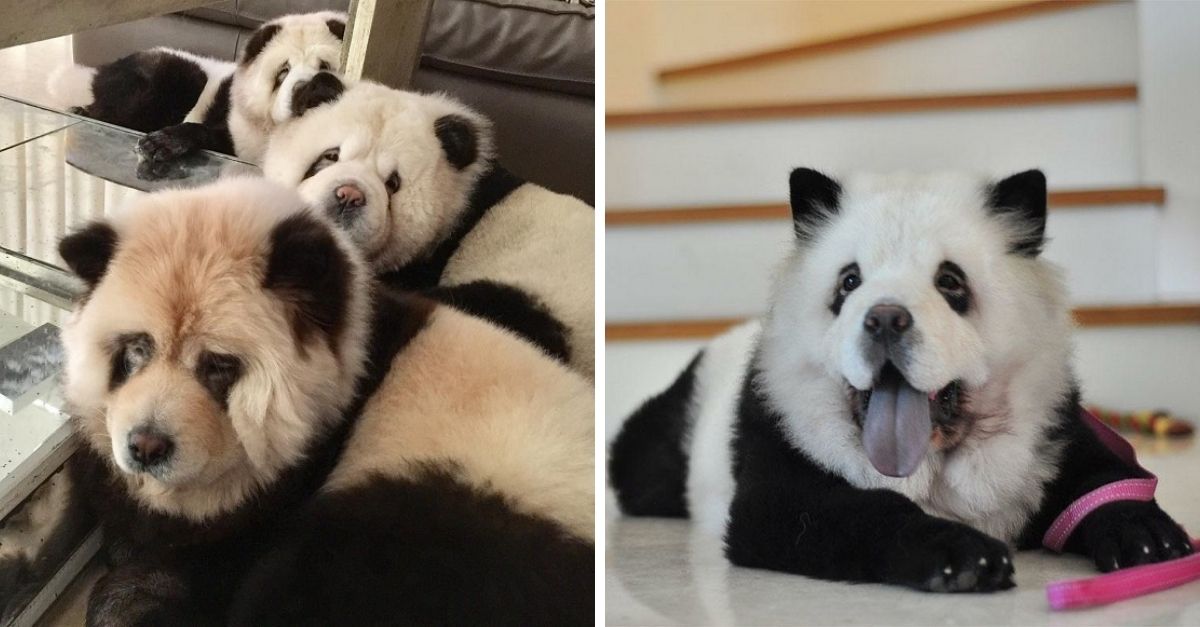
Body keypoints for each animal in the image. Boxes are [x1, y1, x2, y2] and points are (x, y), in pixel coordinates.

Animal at [47, 11, 346, 176]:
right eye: (283, 72)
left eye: (326, 66)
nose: (305, 91)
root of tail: (103, 70)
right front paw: (162, 143)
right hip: (174, 77)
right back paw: (82, 111)